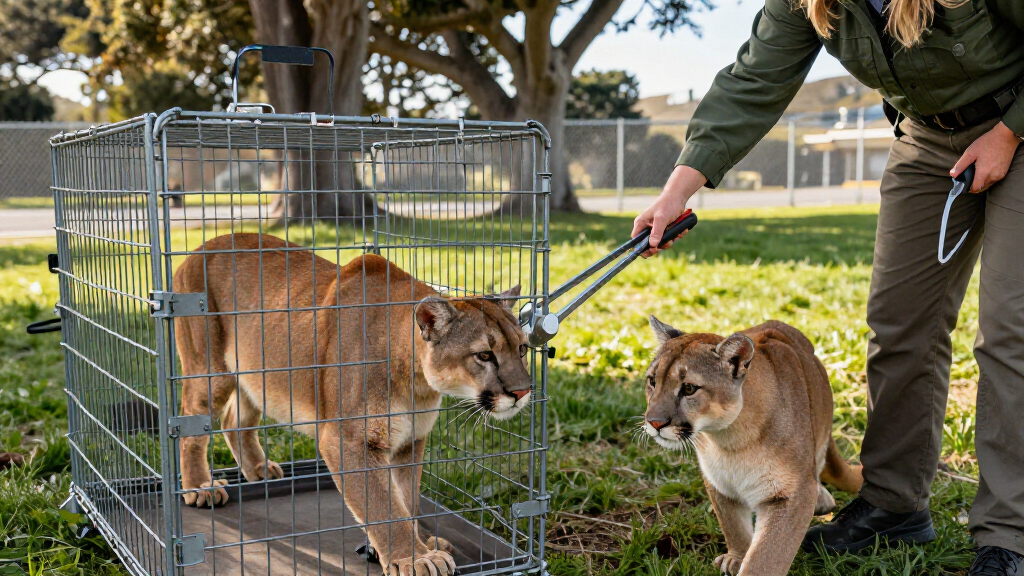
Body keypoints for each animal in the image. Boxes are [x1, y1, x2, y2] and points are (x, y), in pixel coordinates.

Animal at [173, 233, 533, 576]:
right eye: (484, 355)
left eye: (523, 348)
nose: (523, 391)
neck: (415, 383)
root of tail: (198, 249)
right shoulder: (349, 442)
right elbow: (384, 506)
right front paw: (415, 558)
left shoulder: (410, 441)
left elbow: (407, 499)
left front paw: (419, 544)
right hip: (210, 371)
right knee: (191, 425)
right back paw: (201, 488)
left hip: (256, 376)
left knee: (234, 421)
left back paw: (261, 471)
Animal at [641, 317, 863, 576]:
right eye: (652, 381)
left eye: (688, 388)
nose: (654, 422)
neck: (730, 440)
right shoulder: (719, 483)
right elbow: (733, 525)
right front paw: (736, 557)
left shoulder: (791, 494)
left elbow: (766, 557)